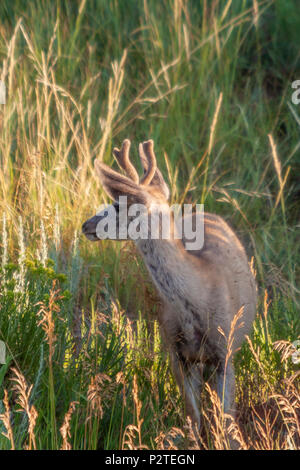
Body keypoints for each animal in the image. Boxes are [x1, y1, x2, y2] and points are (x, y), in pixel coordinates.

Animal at [81, 138, 255, 438]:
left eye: (117, 204)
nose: (86, 225)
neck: (199, 299)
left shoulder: (226, 351)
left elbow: (225, 422)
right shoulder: (176, 352)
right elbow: (193, 417)